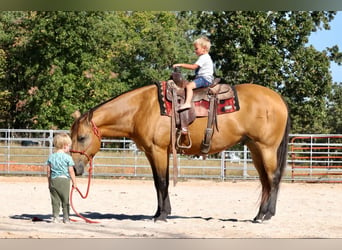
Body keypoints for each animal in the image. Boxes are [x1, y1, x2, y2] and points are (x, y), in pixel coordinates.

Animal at [71, 82, 290, 223]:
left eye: (81, 137)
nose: (75, 168)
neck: (141, 108)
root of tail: (278, 99)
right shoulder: (152, 153)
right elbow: (158, 183)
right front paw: (159, 213)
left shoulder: (158, 150)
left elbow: (162, 182)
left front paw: (162, 216)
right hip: (255, 149)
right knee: (265, 181)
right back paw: (259, 215)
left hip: (267, 148)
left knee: (273, 178)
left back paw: (266, 215)